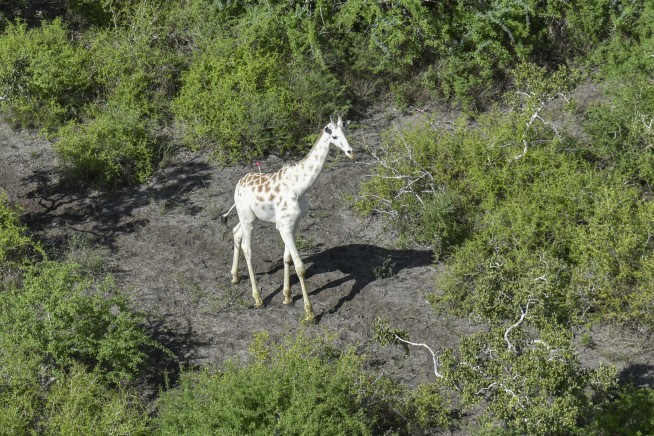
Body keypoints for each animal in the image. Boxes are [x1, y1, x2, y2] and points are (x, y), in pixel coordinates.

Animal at [221, 115, 354, 323]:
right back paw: (258, 299)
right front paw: (310, 313)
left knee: (236, 233)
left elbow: (287, 258)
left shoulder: (293, 224)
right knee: (247, 248)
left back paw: (234, 276)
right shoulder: (284, 226)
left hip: (249, 217)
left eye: (346, 132)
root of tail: (237, 185)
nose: (350, 152)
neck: (300, 186)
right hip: (247, 218)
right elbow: (300, 267)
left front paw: (288, 297)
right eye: (333, 136)